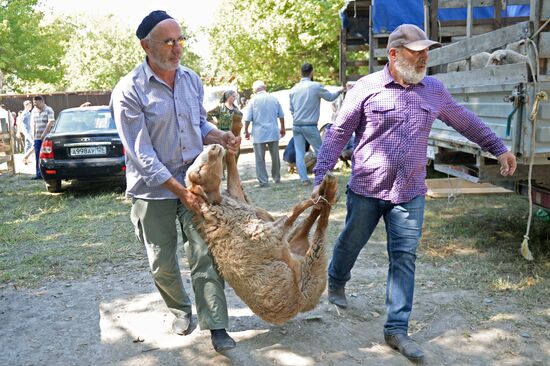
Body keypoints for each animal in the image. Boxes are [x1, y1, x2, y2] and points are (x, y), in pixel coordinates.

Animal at [187, 116, 340, 324]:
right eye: (199, 171)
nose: (213, 147)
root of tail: (300, 305)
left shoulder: (241, 197)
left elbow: (232, 169)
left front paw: (235, 128)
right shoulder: (269, 235)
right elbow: (294, 211)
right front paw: (314, 199)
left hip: (294, 243)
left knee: (305, 225)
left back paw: (324, 190)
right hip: (313, 271)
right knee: (319, 226)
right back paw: (328, 192)